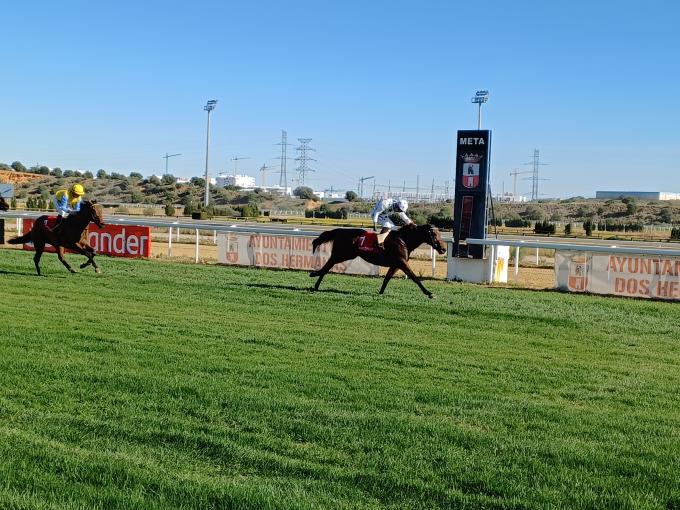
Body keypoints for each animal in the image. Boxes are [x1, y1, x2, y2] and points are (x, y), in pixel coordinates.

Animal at [310, 224, 448, 298]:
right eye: (434, 235)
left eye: (440, 234)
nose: (443, 248)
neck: (404, 240)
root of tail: (339, 230)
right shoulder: (401, 262)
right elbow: (414, 277)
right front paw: (429, 293)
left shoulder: (396, 264)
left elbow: (387, 279)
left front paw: (380, 293)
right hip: (343, 254)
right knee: (328, 265)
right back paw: (314, 274)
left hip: (345, 255)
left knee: (328, 266)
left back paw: (316, 285)